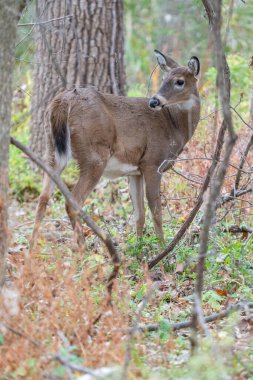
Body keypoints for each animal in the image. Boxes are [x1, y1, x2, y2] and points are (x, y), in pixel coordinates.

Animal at [29, 50, 200, 252]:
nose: (154, 101)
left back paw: (31, 250)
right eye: (165, 78)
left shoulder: (136, 170)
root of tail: (62, 102)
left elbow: (139, 214)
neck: (174, 126)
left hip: (52, 150)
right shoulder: (153, 162)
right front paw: (163, 251)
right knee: (72, 203)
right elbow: (156, 211)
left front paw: (139, 251)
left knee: (43, 198)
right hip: (94, 156)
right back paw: (84, 250)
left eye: (179, 81)